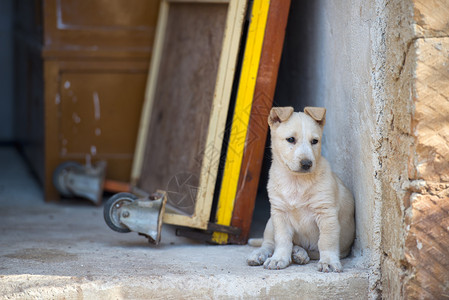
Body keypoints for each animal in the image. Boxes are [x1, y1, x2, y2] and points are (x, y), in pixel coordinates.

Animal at [245, 106, 354, 272]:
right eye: (291, 139)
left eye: (315, 141)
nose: (307, 163)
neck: (296, 181)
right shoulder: (279, 214)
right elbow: (282, 240)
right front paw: (279, 258)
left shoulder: (326, 214)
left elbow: (326, 240)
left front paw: (328, 261)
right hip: (270, 222)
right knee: (268, 243)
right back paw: (259, 254)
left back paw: (300, 253)